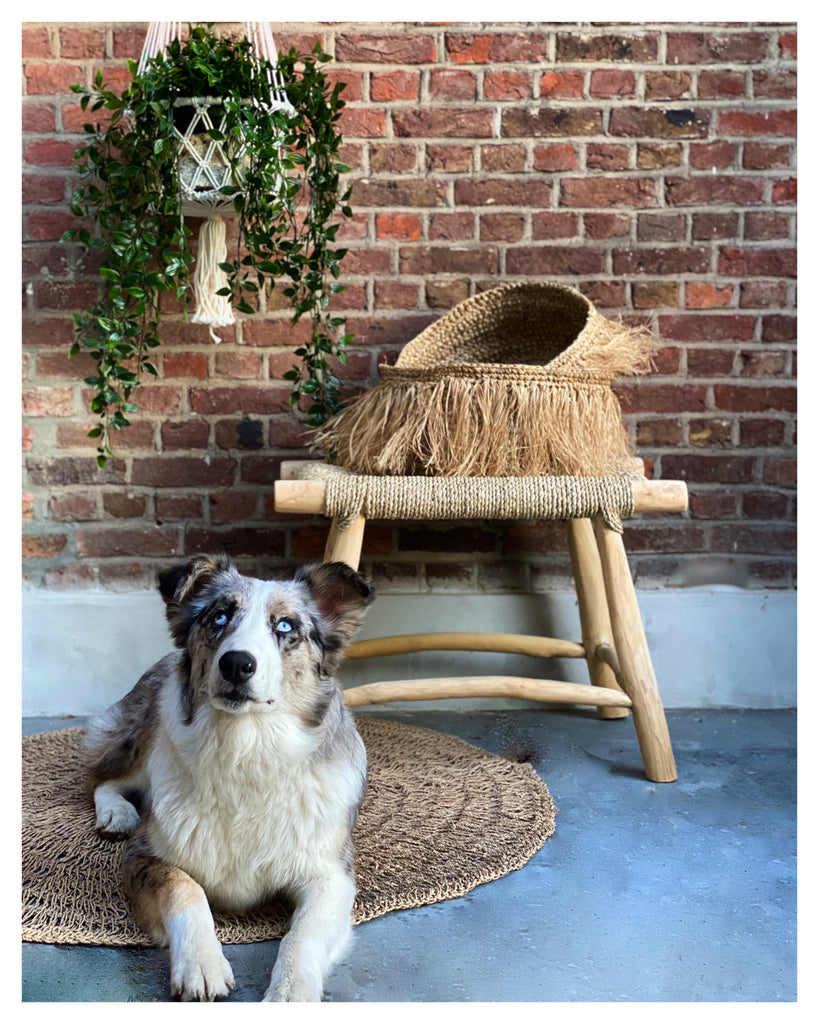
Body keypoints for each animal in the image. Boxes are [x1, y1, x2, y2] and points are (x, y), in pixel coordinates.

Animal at [83, 557, 374, 1003]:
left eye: (285, 626)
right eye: (218, 617)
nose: (237, 663)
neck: (246, 752)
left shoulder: (331, 875)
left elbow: (302, 935)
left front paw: (291, 992)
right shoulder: (143, 856)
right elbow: (185, 887)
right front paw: (200, 964)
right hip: (137, 735)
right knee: (100, 776)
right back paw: (117, 813)